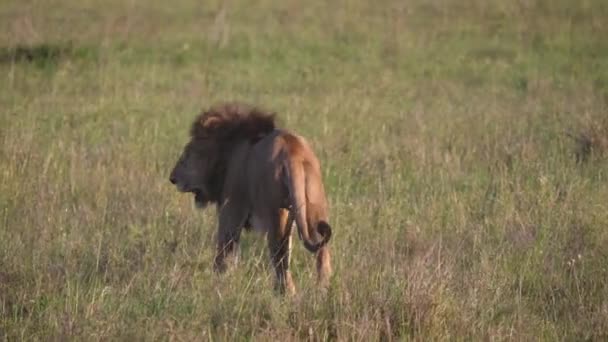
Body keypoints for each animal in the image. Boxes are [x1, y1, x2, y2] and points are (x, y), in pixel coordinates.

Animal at [169, 102, 332, 294]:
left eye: (187, 154)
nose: (172, 178)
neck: (226, 153)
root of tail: (292, 153)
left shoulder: (230, 211)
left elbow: (223, 254)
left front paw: (217, 284)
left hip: (275, 214)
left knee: (281, 260)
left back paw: (285, 294)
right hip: (314, 209)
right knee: (321, 254)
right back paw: (322, 289)